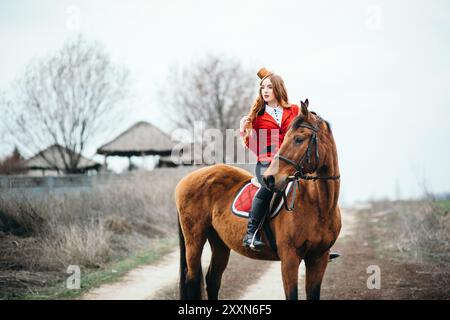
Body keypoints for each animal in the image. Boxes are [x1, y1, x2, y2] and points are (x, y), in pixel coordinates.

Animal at [176, 100, 342, 300]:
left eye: (298, 139)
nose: (270, 179)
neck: (319, 205)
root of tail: (186, 179)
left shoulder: (318, 259)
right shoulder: (290, 259)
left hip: (219, 243)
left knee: (213, 280)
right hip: (194, 240)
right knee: (192, 280)